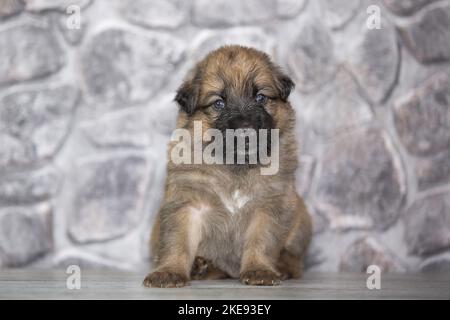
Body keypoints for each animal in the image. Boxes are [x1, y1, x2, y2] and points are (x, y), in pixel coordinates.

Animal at [142, 45, 312, 288]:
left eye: (260, 97)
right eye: (219, 103)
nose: (245, 130)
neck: (235, 166)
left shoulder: (270, 204)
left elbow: (262, 241)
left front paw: (260, 270)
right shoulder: (186, 203)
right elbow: (177, 240)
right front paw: (169, 272)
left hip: (301, 217)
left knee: (294, 261)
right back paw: (201, 267)